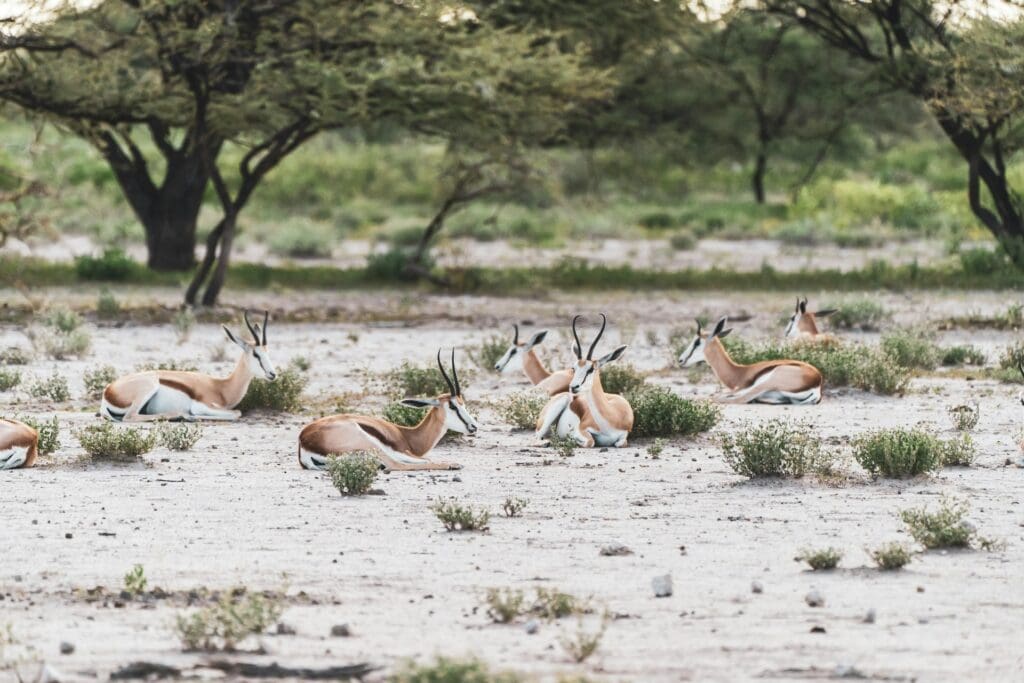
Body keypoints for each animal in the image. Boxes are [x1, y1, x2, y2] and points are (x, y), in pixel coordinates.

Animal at [99, 311, 277, 422]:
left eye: (268, 352)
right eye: (256, 354)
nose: (273, 374)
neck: (221, 387)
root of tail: (108, 391)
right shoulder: (203, 405)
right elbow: (236, 413)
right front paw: (191, 416)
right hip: (149, 386)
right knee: (129, 417)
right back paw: (180, 416)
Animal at [298, 349, 478, 471]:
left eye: (463, 403)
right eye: (453, 405)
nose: (474, 427)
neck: (408, 435)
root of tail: (304, 442)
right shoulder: (403, 452)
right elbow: (425, 460)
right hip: (371, 446)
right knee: (395, 465)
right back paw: (453, 464)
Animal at [535, 314, 634, 448]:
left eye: (591, 369)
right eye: (573, 368)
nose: (573, 387)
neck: (612, 416)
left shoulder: (624, 435)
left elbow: (620, 443)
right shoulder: (581, 429)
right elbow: (590, 441)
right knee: (537, 437)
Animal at [679, 317, 824, 405]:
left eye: (697, 342)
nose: (680, 360)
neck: (739, 372)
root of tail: (816, 381)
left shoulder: (739, 389)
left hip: (766, 383)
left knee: (734, 399)